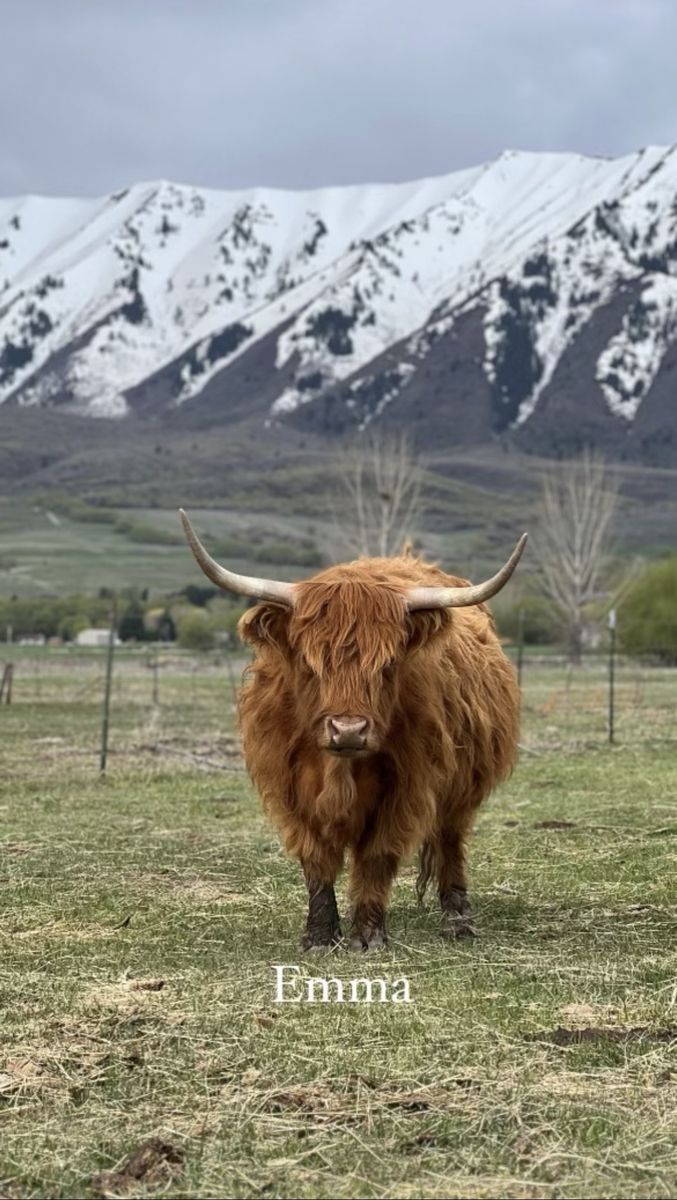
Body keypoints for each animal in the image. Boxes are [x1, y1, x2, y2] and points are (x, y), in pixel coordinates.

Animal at [179, 509, 526, 952]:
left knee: (450, 840)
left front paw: (368, 935)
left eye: (388, 664)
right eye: (309, 663)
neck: (338, 770)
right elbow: (316, 861)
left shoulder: (407, 787)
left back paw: (458, 918)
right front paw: (319, 936)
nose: (348, 730)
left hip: (462, 788)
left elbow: (377, 855)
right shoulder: (290, 789)